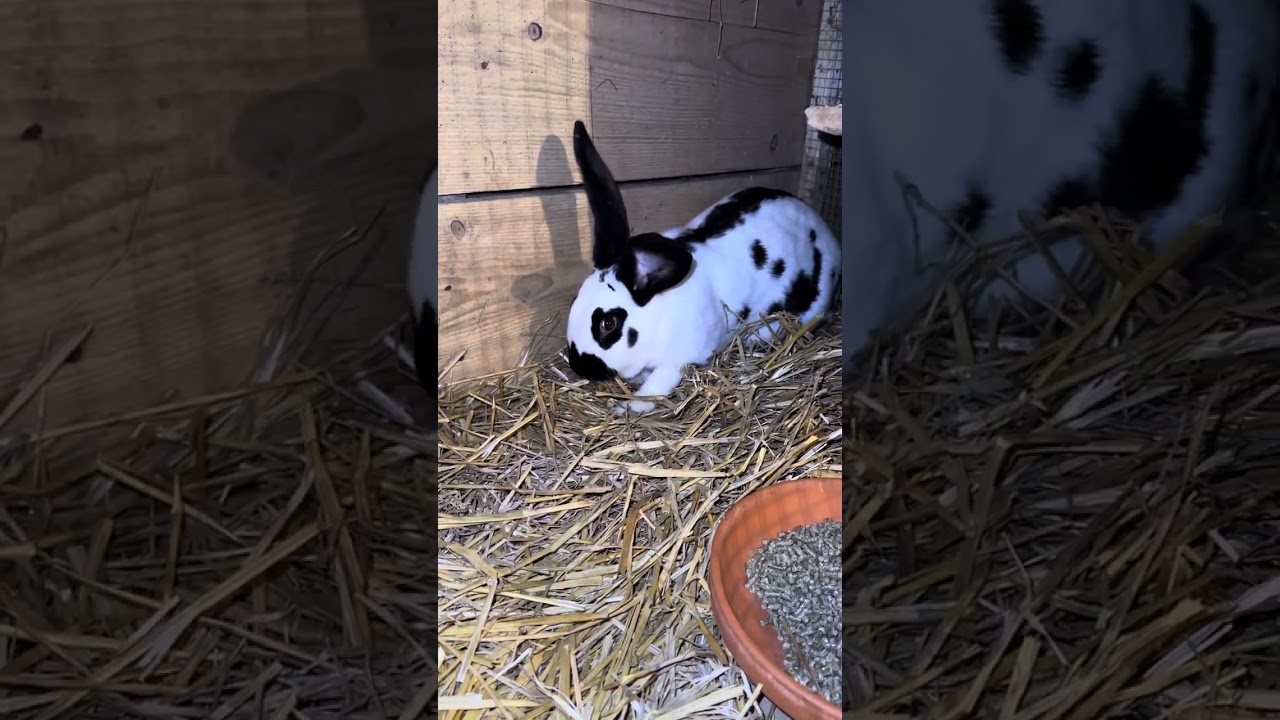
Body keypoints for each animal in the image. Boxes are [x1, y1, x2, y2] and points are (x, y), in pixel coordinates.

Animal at [565, 120, 842, 415]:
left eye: (608, 323)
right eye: (574, 301)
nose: (579, 366)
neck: (657, 314)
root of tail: (827, 233)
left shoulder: (681, 356)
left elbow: (656, 386)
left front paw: (628, 407)